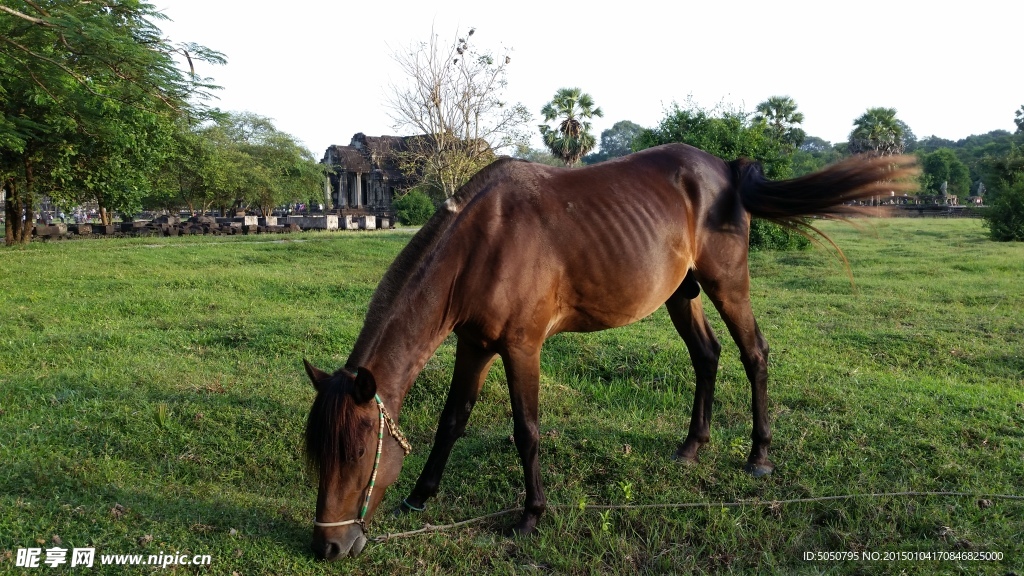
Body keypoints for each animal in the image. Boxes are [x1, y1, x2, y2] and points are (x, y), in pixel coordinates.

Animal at [302, 143, 917, 559]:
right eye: (319, 455)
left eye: (357, 454)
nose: (328, 546)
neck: (483, 242)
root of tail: (725, 169)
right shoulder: (475, 344)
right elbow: (453, 419)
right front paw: (420, 496)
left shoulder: (521, 348)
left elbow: (526, 430)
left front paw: (531, 515)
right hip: (682, 294)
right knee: (707, 357)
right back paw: (692, 447)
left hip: (727, 284)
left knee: (754, 355)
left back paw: (759, 456)